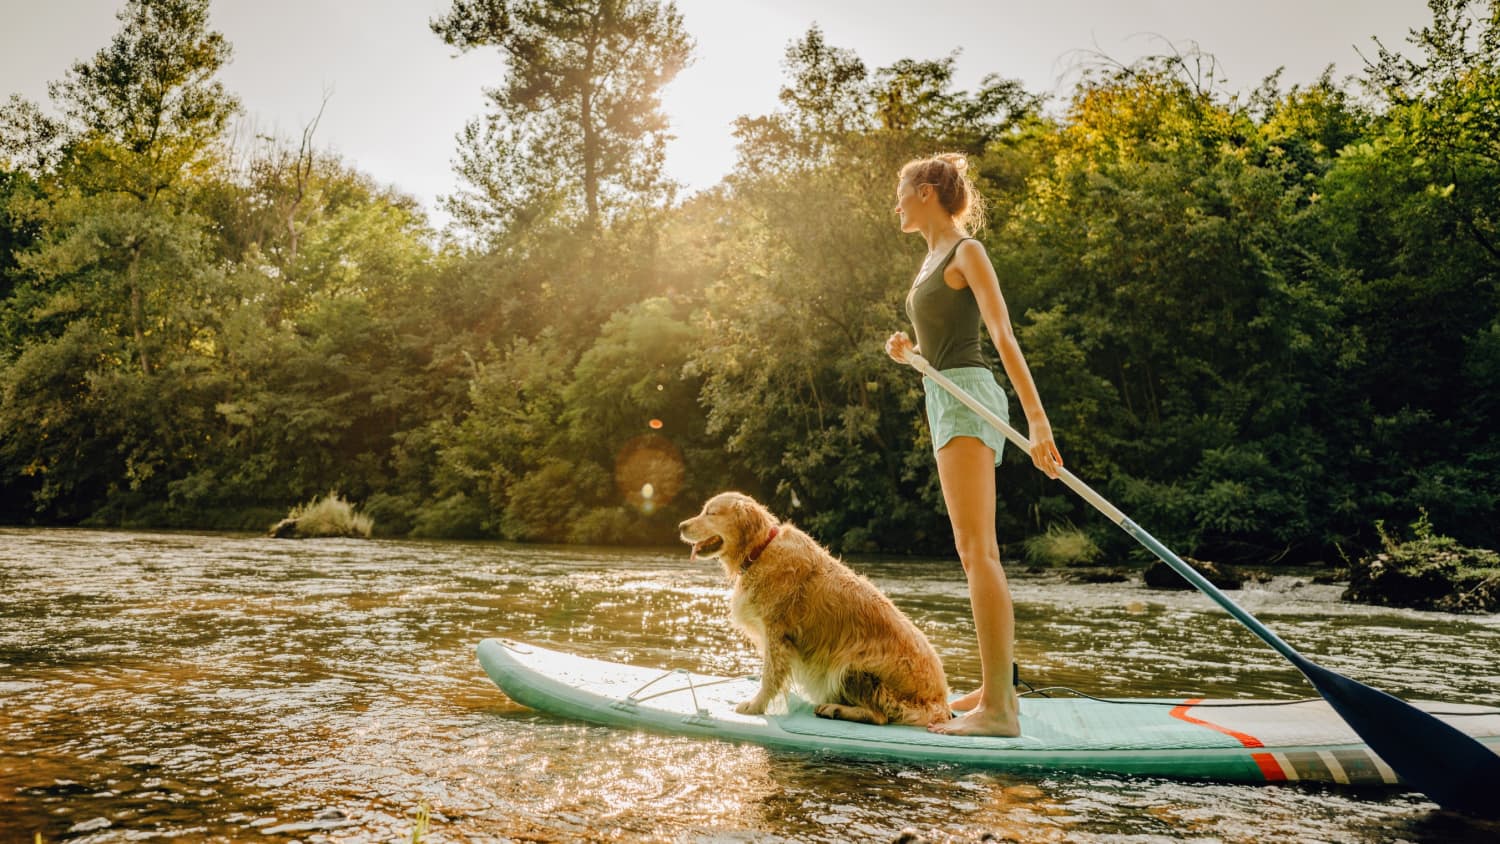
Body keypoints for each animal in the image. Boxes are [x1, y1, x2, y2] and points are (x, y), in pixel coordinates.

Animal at [681, 491, 948, 728]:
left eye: (710, 513)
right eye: (704, 510)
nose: (681, 525)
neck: (761, 550)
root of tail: (940, 704)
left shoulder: (776, 633)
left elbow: (769, 676)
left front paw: (755, 706)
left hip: (851, 664)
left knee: (880, 716)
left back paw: (835, 709)